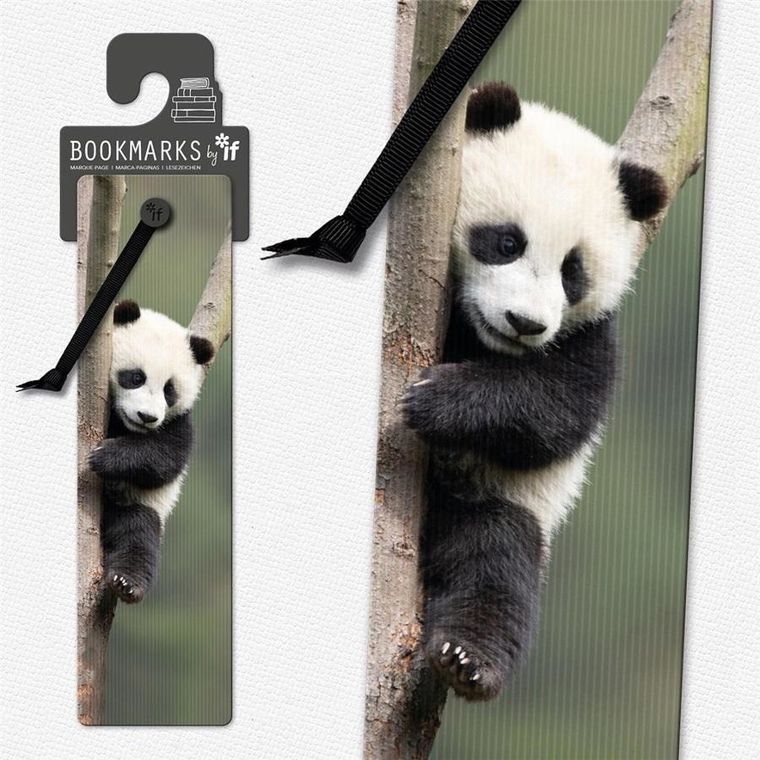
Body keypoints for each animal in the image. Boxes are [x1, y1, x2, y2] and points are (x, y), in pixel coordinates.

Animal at [88, 300, 214, 603]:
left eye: (169, 390)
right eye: (136, 377)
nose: (147, 417)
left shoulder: (179, 421)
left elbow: (165, 458)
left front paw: (105, 456)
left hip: (138, 506)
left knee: (138, 534)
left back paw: (126, 583)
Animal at [402, 84, 667, 701]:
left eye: (573, 271)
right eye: (507, 242)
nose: (525, 323)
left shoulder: (590, 334)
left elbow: (558, 410)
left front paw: (434, 400)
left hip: (502, 504)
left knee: (495, 564)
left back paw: (467, 659)